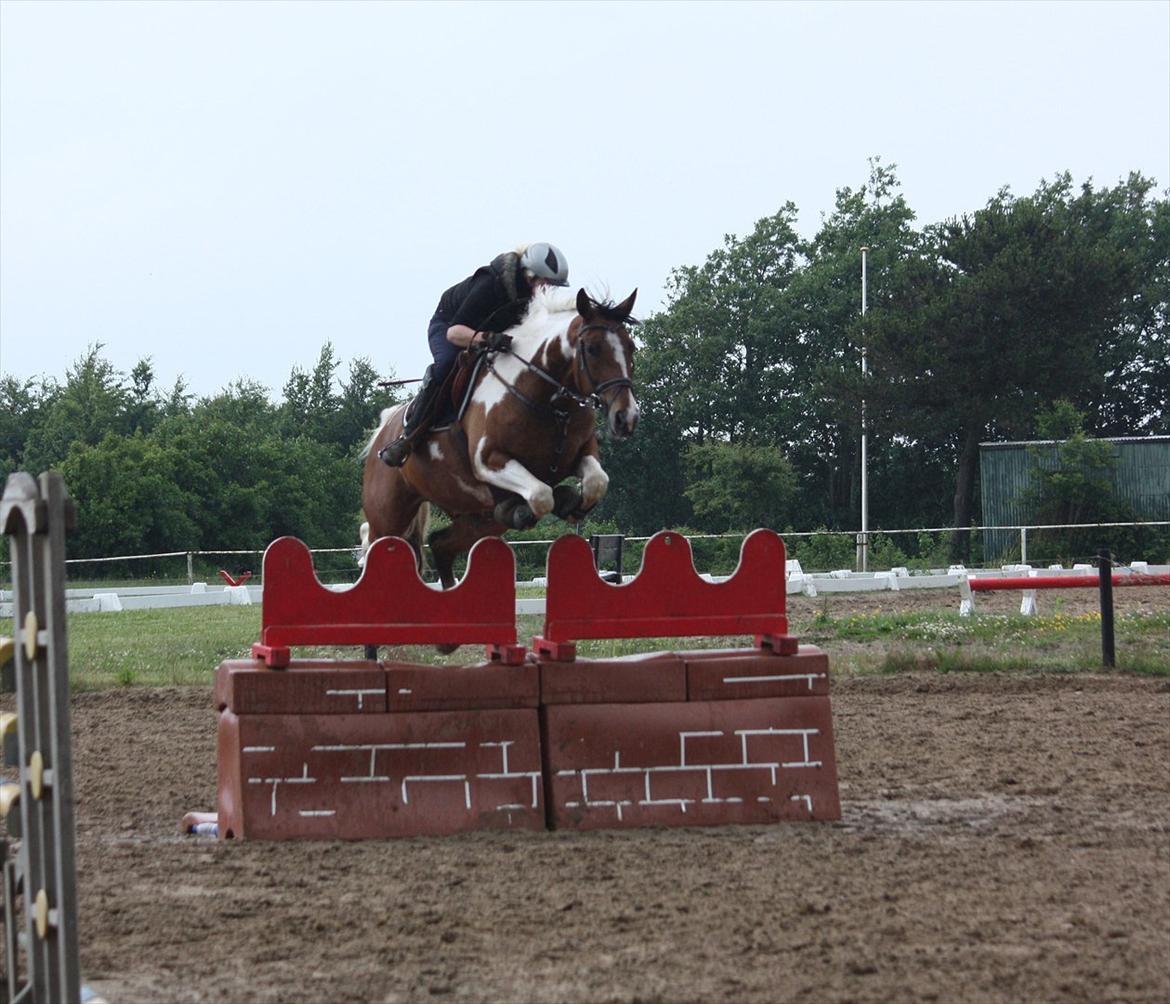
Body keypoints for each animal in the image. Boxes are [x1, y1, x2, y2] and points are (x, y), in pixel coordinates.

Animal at [362, 285, 645, 587]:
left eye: (631, 347)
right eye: (592, 349)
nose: (626, 418)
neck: (550, 401)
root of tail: (383, 428)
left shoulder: (584, 450)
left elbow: (596, 482)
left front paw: (569, 501)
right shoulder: (489, 461)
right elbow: (541, 494)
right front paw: (528, 508)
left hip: (475, 516)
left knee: (441, 545)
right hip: (387, 518)